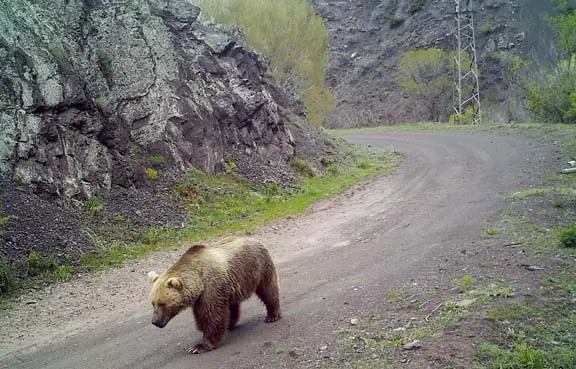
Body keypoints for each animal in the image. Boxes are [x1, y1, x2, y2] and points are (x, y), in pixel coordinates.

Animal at [146, 237, 282, 352]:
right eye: (153, 303)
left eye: (162, 303)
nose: (155, 321)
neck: (199, 281)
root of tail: (254, 239)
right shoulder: (200, 297)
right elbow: (202, 315)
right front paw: (202, 329)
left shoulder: (211, 289)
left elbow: (213, 315)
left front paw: (200, 346)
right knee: (232, 306)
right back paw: (230, 324)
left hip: (258, 268)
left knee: (268, 290)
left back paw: (272, 315)